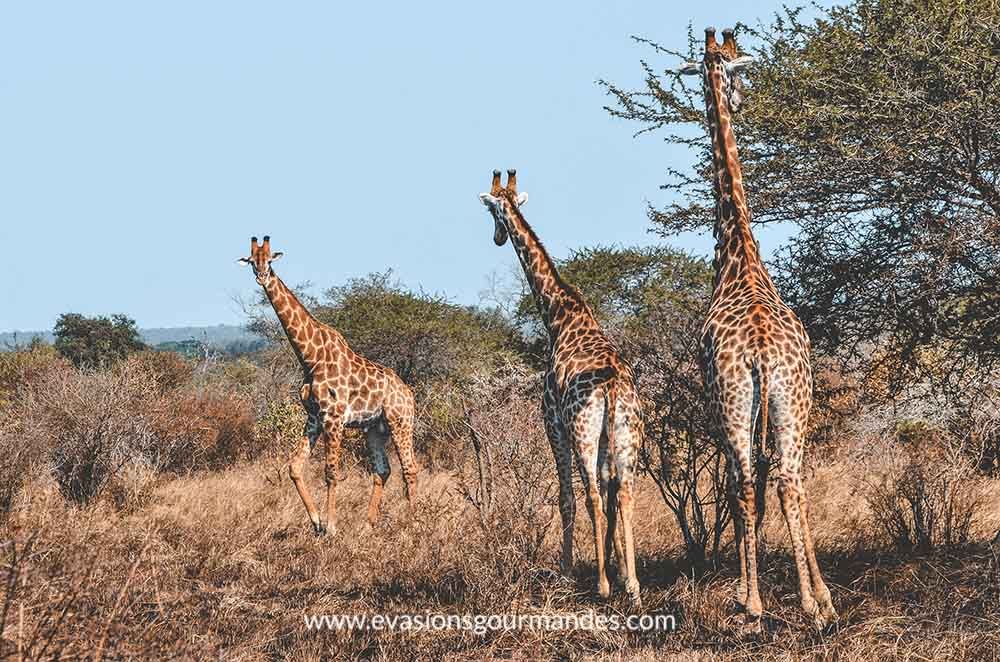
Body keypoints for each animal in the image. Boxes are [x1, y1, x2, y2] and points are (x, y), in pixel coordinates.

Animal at [239, 236, 418, 536]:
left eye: (270, 260)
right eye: (252, 261)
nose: (262, 276)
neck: (310, 358)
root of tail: (409, 393)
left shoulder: (333, 418)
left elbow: (330, 472)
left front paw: (331, 526)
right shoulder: (313, 417)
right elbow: (295, 467)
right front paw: (317, 522)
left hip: (400, 422)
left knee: (410, 468)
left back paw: (416, 521)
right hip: (375, 429)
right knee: (382, 470)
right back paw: (367, 526)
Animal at [478, 170, 648, 608]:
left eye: (491, 211)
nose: (496, 238)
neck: (557, 315)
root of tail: (612, 387)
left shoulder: (552, 421)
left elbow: (566, 496)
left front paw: (568, 571)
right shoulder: (605, 440)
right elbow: (610, 494)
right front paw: (619, 570)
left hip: (583, 432)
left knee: (590, 494)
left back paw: (602, 585)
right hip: (626, 435)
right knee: (624, 493)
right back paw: (633, 586)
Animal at [680, 26, 836, 632]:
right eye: (736, 69)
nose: (744, 99)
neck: (740, 254)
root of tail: (763, 355)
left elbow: (740, 489)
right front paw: (818, 593)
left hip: (742, 403)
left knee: (751, 483)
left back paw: (757, 602)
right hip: (783, 402)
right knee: (785, 480)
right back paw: (808, 603)